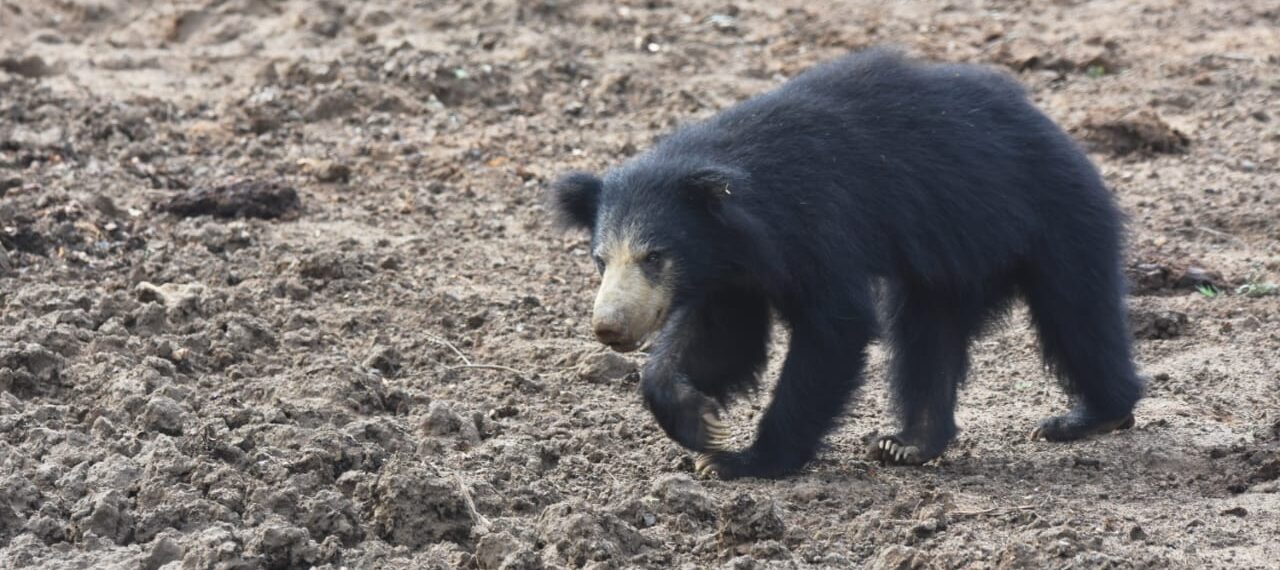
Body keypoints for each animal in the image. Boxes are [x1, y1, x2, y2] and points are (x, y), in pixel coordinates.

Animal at [548, 48, 1143, 480]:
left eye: (654, 257)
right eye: (600, 260)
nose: (610, 328)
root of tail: (1059, 133)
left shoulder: (820, 225)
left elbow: (834, 330)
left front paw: (740, 460)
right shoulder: (731, 275)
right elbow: (722, 339)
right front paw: (701, 423)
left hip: (1052, 217)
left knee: (1076, 313)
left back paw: (1089, 416)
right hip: (949, 261)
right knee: (928, 334)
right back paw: (910, 443)